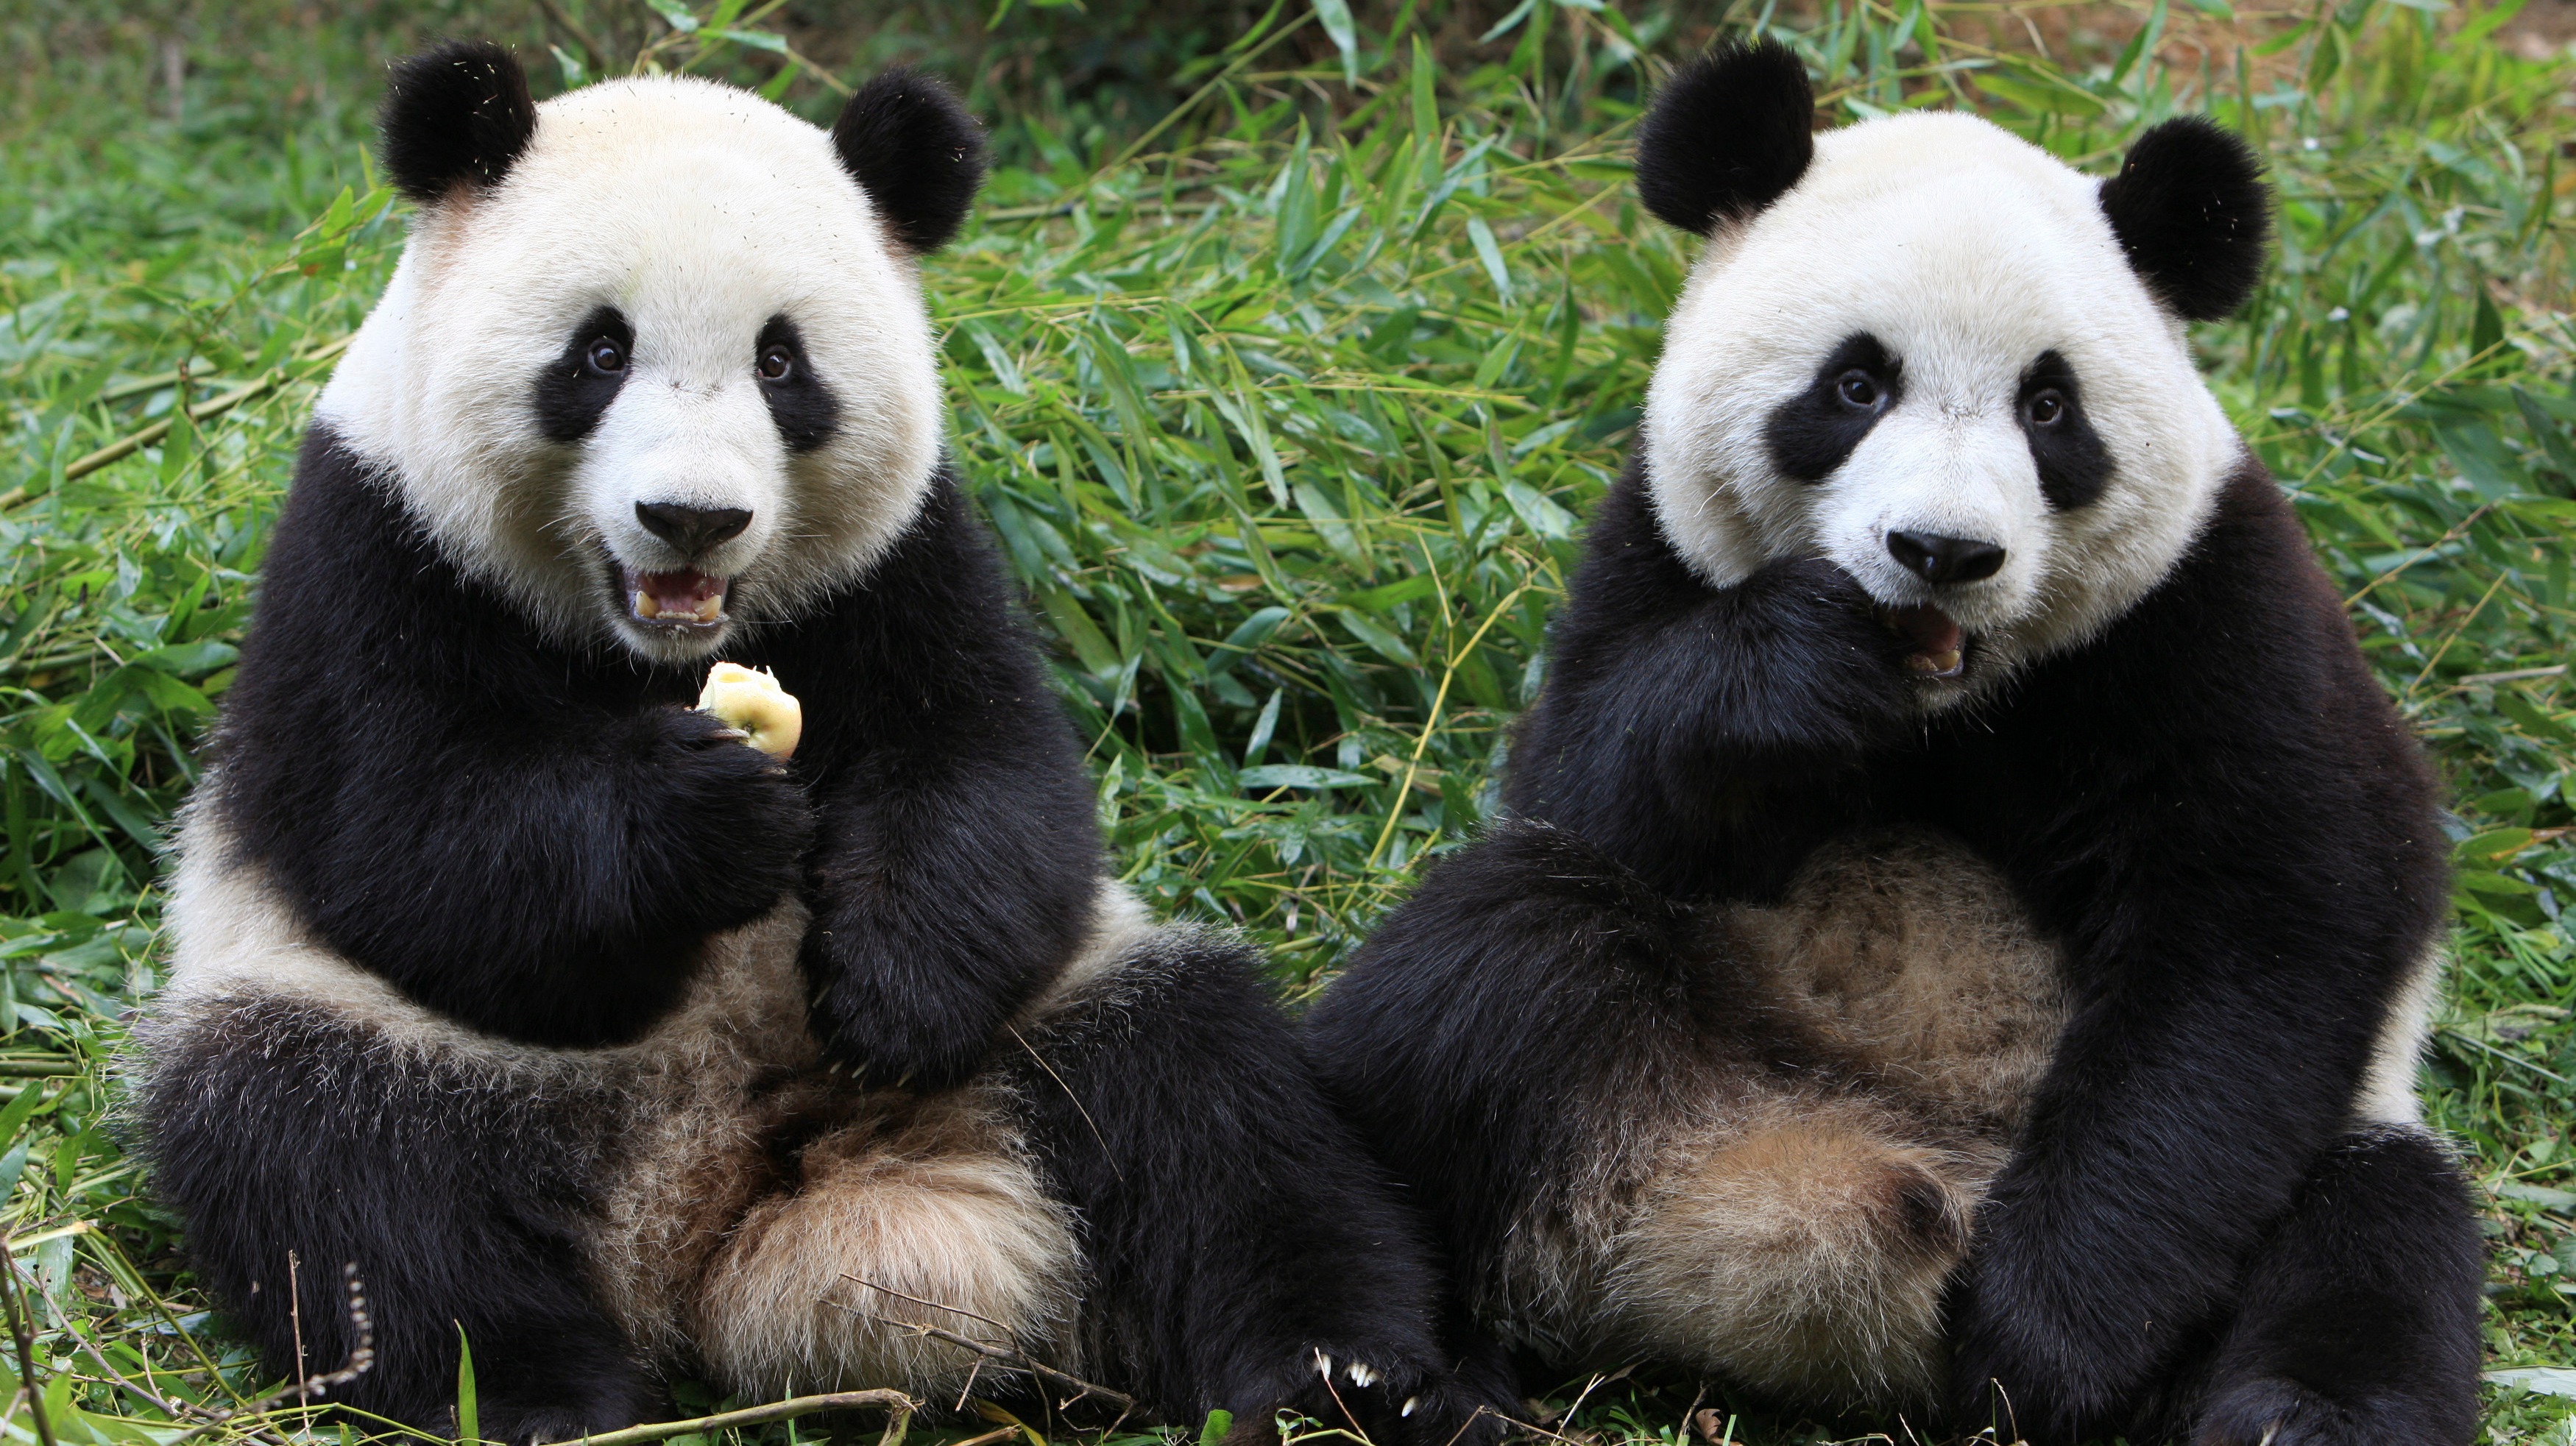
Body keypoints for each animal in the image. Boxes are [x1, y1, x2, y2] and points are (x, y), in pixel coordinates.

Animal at [135, 45, 1504, 1443]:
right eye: (600, 350)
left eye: (783, 365)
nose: (691, 516)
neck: (651, 648)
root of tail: (709, 1198)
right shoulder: (371, 550)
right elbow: (409, 841)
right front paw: (701, 822)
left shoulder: (908, 561)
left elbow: (993, 778)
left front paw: (889, 981)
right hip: (379, 1039)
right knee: (345, 1185)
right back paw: (550, 1400)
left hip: (1059, 1019)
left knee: (1215, 1116)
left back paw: (1351, 1377)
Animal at [1319, 39, 2483, 1443]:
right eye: (1856, 384)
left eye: (2051, 408)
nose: (1942, 551)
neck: (1953, 701)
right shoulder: (1650, 550)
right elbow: (1585, 788)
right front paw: (1791, 675)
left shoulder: (2215, 614)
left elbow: (2264, 931)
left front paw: (2046, 1338)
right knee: (1485, 971)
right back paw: (1428, 1369)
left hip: (2342, 1142)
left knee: (2374, 1238)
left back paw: (2294, 1413)